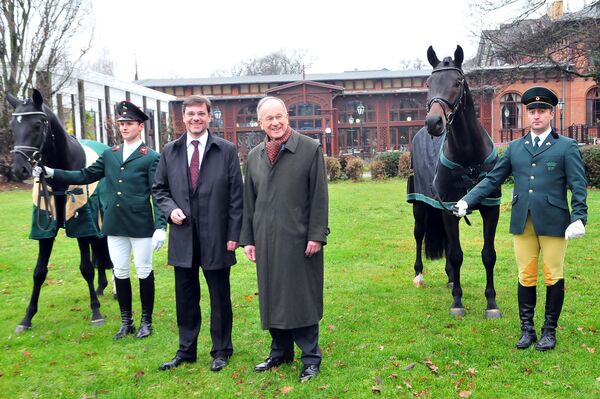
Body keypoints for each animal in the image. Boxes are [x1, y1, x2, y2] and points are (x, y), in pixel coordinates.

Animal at [7, 89, 112, 332]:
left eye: (37, 124)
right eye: (12, 126)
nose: (19, 169)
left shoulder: (82, 224)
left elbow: (86, 268)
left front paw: (95, 312)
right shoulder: (45, 229)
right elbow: (39, 272)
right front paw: (27, 318)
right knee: (98, 249)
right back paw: (101, 286)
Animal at [408, 45, 502, 318]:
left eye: (457, 82)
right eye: (428, 83)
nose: (434, 122)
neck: (469, 157)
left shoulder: (490, 209)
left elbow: (488, 255)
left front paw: (491, 303)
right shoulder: (449, 209)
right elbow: (458, 254)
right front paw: (457, 302)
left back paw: (451, 278)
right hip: (420, 205)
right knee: (419, 234)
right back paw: (419, 275)